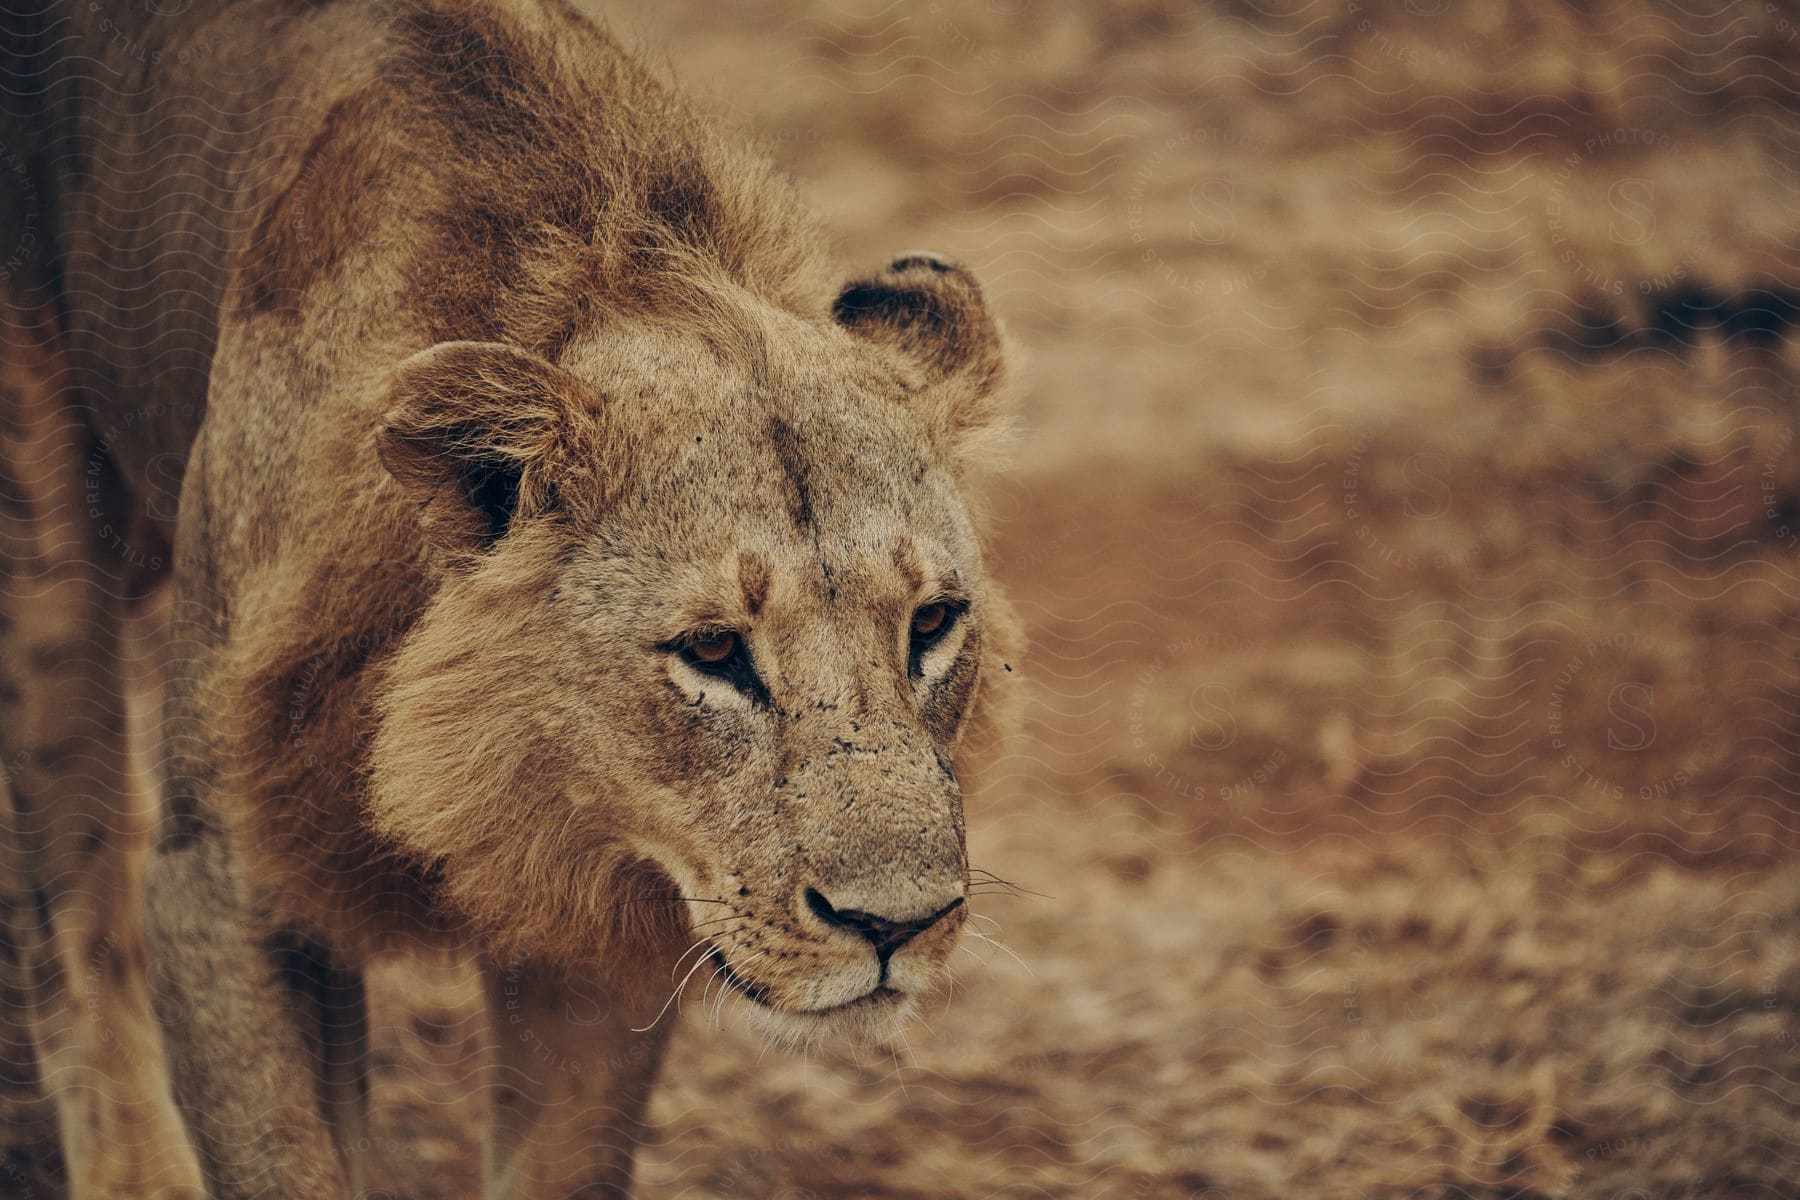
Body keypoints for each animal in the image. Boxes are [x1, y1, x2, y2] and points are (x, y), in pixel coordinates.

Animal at [0, 4, 1015, 1194]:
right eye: (714, 652)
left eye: (931, 624)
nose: (898, 926)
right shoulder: (221, 881)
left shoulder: (605, 917)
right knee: (75, 885)